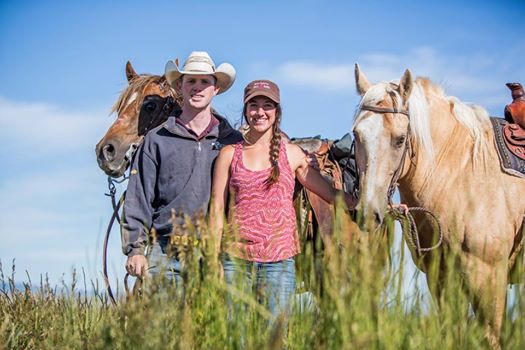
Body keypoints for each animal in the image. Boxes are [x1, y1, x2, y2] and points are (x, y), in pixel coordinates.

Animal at [352, 63, 524, 344]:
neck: (465, 172)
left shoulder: (488, 276)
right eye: (356, 135)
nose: (368, 213)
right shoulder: (441, 277)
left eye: (400, 139)